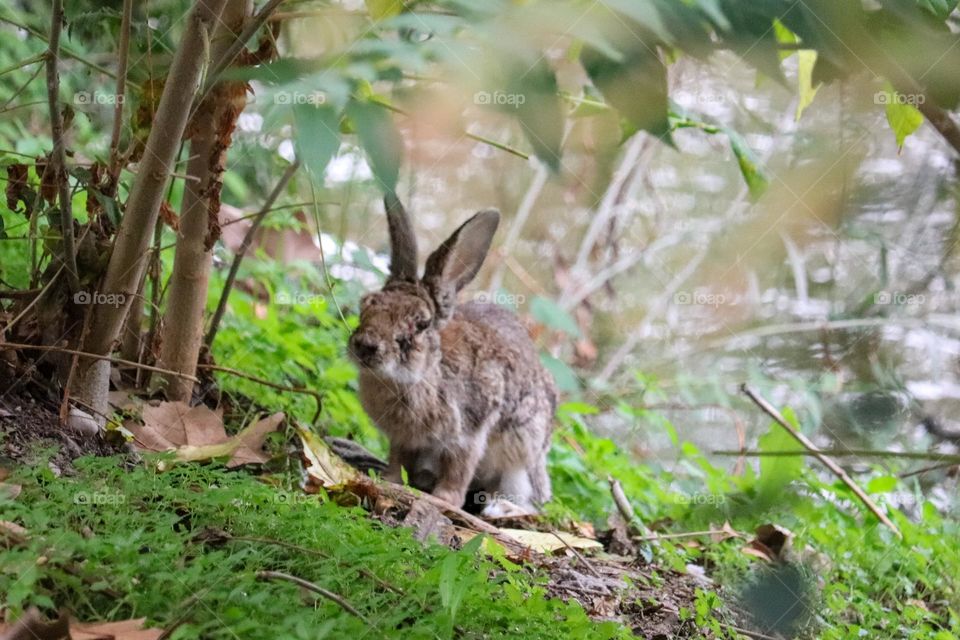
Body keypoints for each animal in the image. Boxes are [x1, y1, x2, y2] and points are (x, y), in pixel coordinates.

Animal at [350, 192, 556, 516]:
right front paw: (391, 479)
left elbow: (460, 466)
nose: (365, 345)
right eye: (365, 304)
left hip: (523, 455)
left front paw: (446, 498)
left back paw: (499, 509)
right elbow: (398, 457)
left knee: (530, 501)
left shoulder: (471, 429)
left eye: (421, 323)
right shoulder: (404, 439)